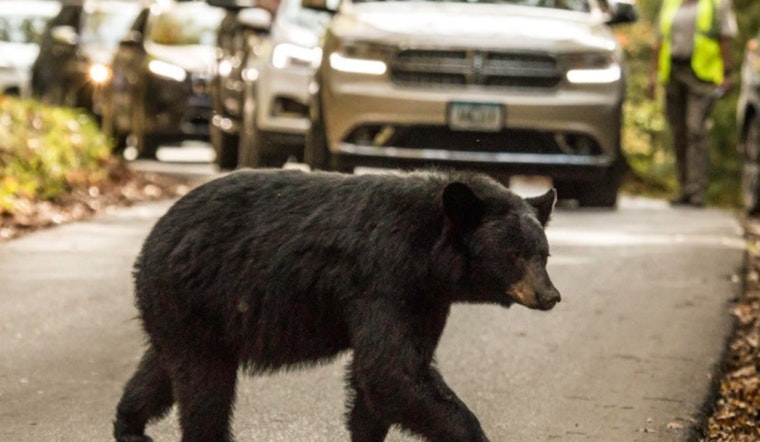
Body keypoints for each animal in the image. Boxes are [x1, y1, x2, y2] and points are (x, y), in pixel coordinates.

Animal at [113, 168, 561, 442]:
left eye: (544, 254)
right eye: (514, 255)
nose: (550, 296)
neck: (428, 250)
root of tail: (152, 238)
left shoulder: (425, 298)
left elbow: (387, 376)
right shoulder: (383, 278)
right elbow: (390, 370)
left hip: (186, 314)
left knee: (163, 369)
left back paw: (129, 424)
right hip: (195, 297)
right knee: (205, 387)